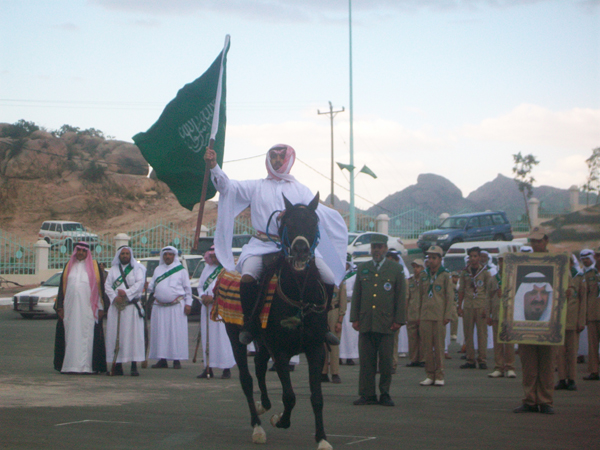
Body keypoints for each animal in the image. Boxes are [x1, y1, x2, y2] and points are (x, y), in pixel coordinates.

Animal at [225, 193, 336, 450]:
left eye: (313, 222)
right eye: (288, 222)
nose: (300, 250)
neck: (300, 296)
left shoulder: (315, 349)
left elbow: (317, 397)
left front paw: (322, 438)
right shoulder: (281, 350)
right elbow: (290, 396)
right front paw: (280, 420)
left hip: (263, 343)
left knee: (259, 367)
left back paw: (263, 405)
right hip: (236, 339)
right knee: (247, 380)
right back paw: (257, 427)